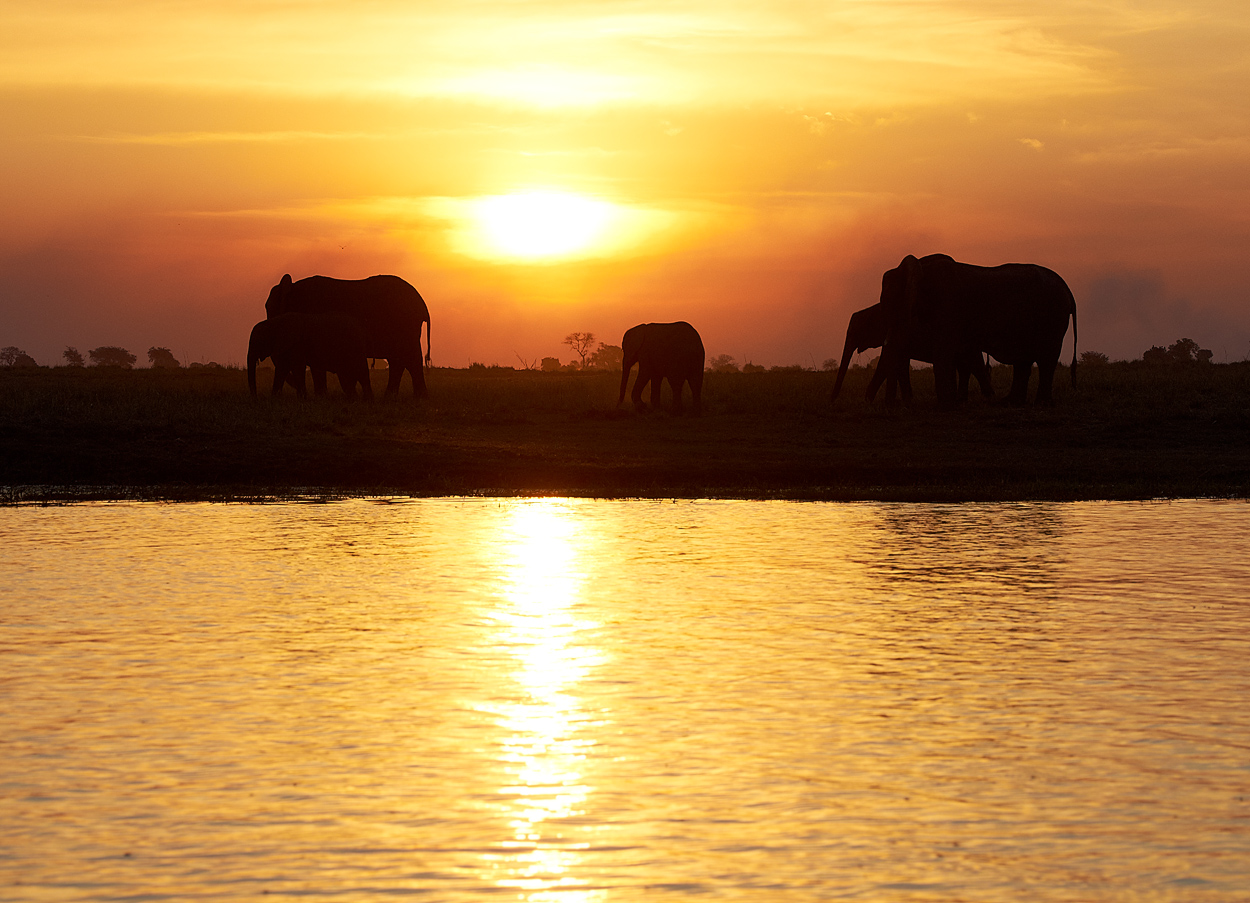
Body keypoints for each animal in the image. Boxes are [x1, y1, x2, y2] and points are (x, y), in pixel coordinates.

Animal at [266, 273, 432, 395]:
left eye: (270, 308)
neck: (292, 286)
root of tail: (423, 305)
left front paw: (321, 397)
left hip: (405, 325)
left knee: (409, 359)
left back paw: (416, 397)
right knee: (399, 360)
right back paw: (392, 397)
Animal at [830, 300, 995, 402]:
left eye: (853, 332)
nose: (832, 401)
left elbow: (886, 361)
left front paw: (868, 400)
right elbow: (899, 363)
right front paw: (907, 400)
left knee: (973, 365)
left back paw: (987, 397)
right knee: (967, 366)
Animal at [880, 255, 1075, 405]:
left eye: (890, 300)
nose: (892, 405)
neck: (920, 268)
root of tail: (1069, 291)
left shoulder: (949, 307)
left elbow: (944, 351)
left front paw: (946, 405)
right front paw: (955, 403)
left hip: (1053, 317)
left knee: (1046, 359)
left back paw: (1040, 403)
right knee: (1024, 360)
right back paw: (1009, 402)